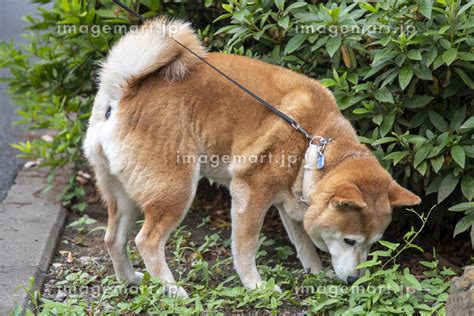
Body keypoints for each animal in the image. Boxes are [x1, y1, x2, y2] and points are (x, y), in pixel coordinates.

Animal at [83, 18, 420, 298]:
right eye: (350, 241)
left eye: (371, 244)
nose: (353, 281)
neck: (314, 144)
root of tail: (124, 92)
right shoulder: (250, 193)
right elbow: (245, 248)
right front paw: (256, 286)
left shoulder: (290, 202)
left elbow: (304, 245)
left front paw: (314, 273)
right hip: (175, 190)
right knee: (147, 241)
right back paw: (173, 289)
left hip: (123, 195)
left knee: (113, 239)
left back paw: (130, 280)